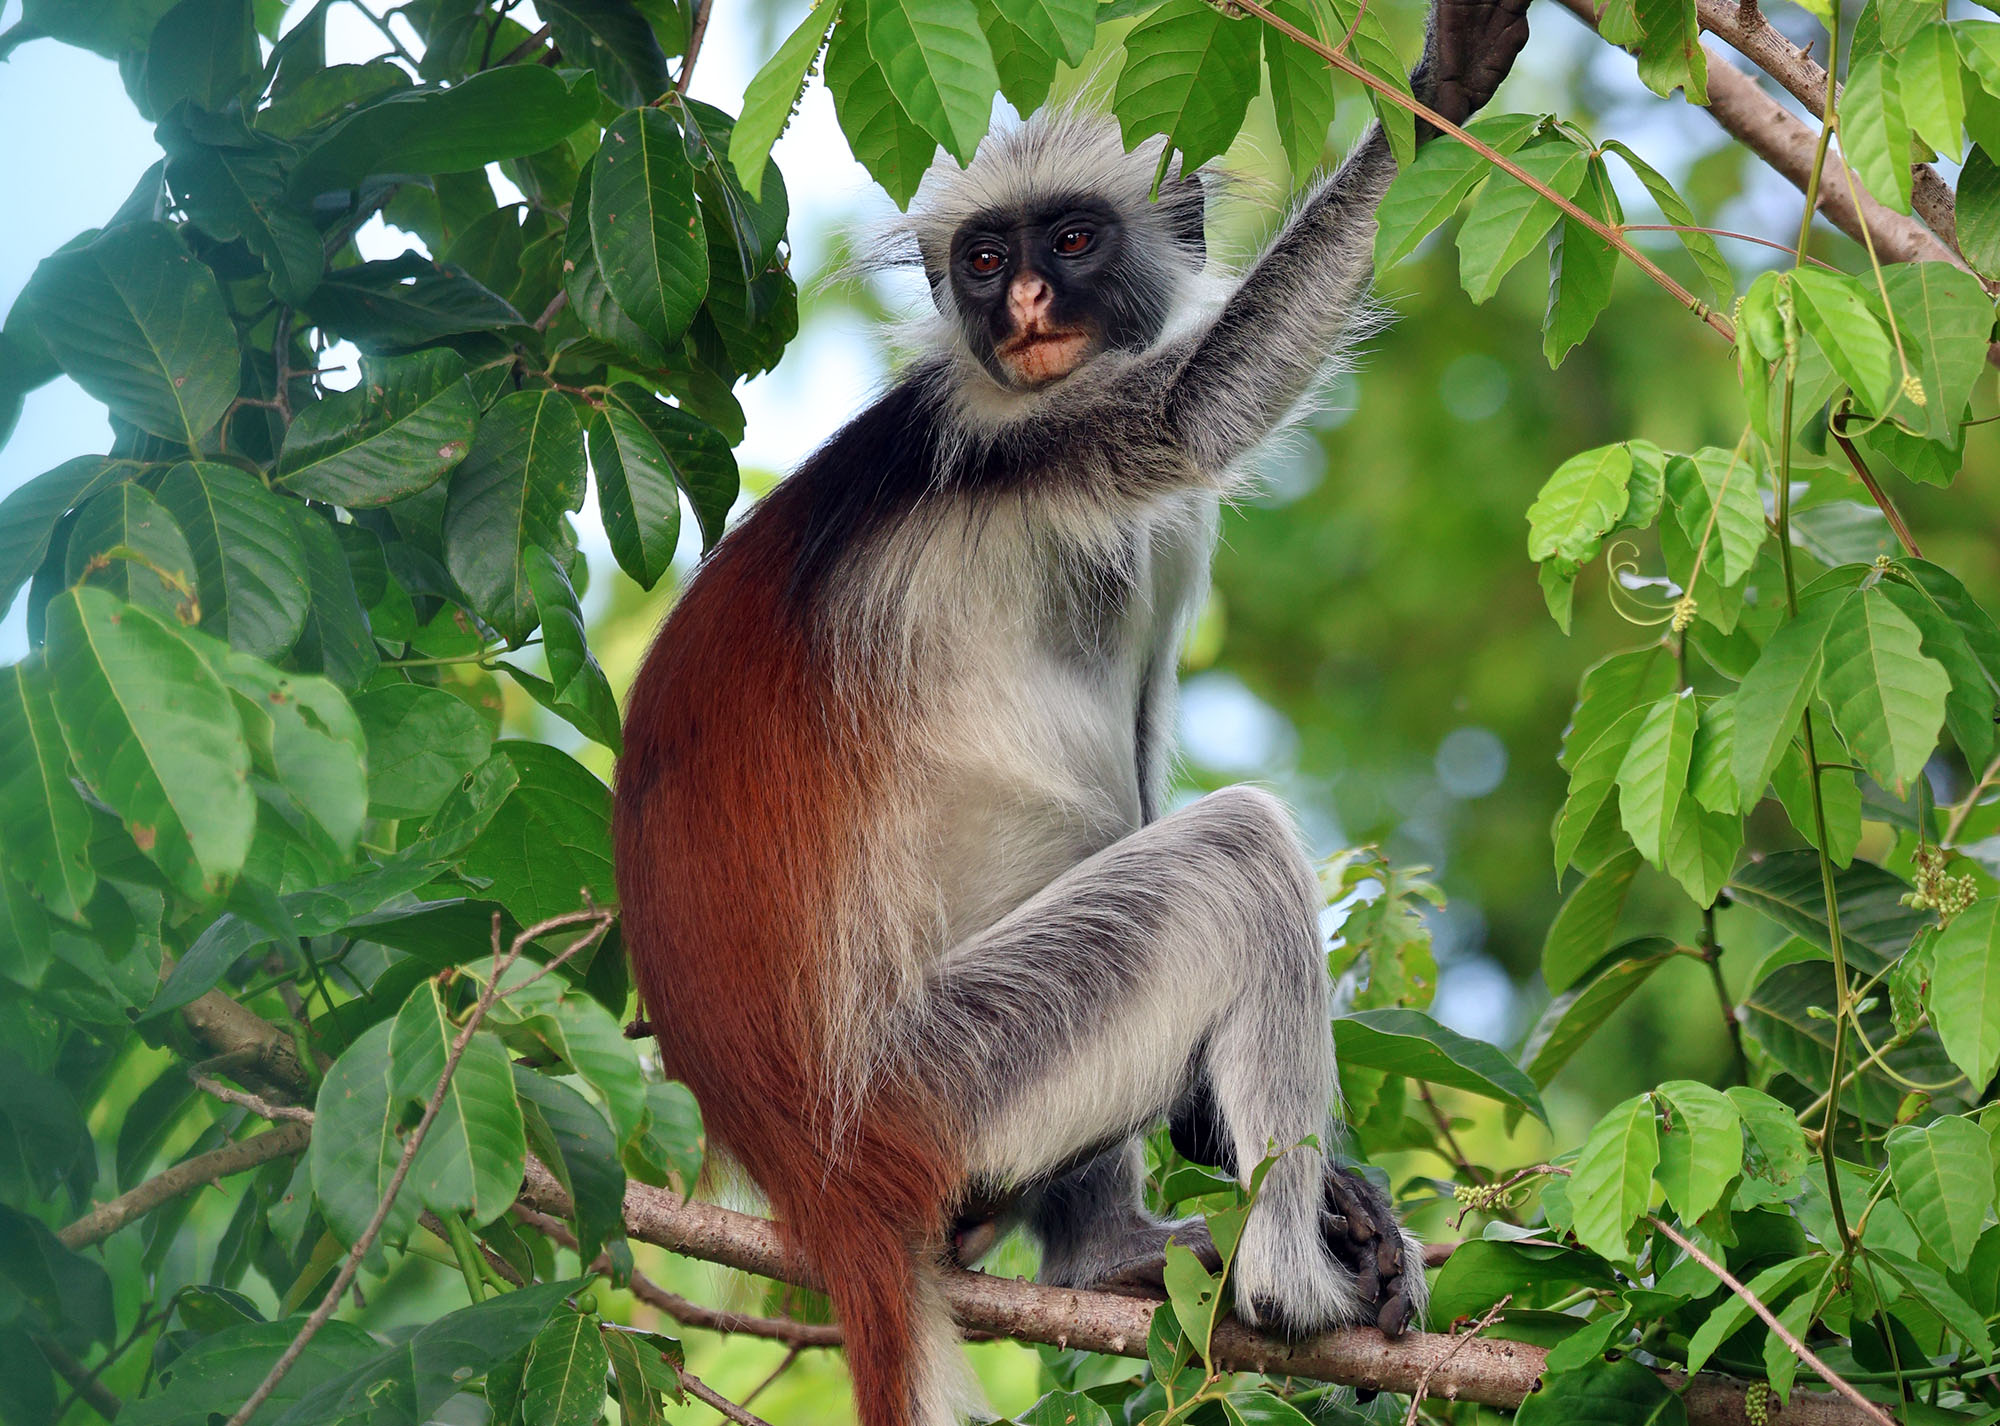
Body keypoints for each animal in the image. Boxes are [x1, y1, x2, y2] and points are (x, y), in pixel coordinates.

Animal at [620, 5, 1528, 1416]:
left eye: (1072, 241)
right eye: (986, 258)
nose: (1026, 305)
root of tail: (814, 1173)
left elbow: (1142, 753)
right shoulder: (1002, 435)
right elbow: (1192, 413)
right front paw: (1447, 88)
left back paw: (1108, 1256)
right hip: (936, 1080)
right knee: (1230, 855)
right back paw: (1287, 1288)